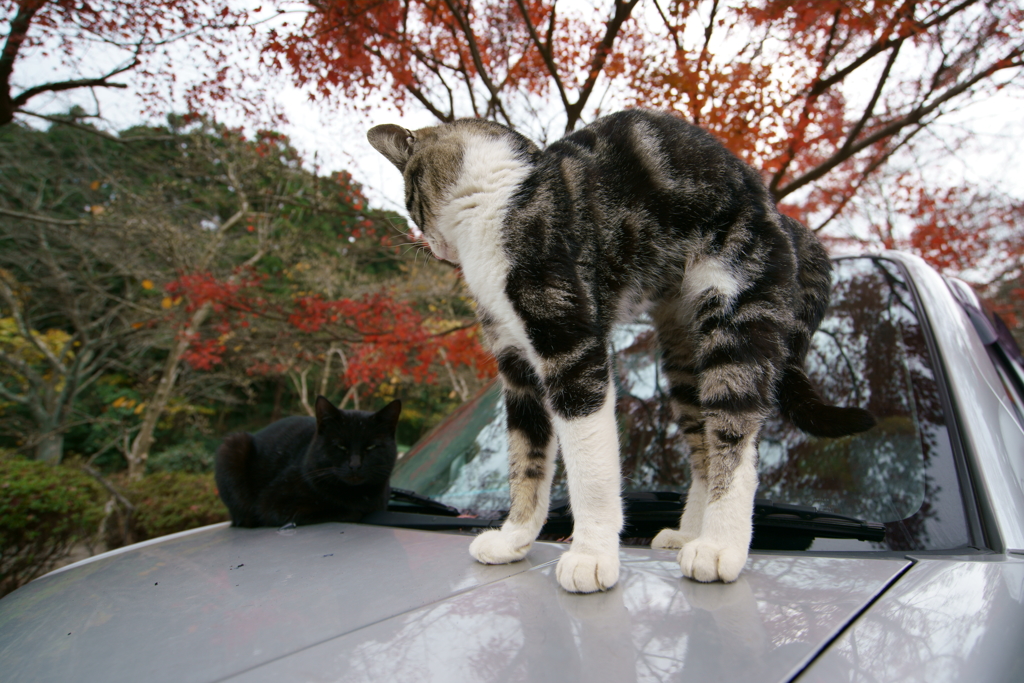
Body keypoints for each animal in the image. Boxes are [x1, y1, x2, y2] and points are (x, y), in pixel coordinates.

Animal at [214, 395, 401, 528]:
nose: (355, 465)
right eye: (340, 446)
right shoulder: (272, 505)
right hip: (233, 445)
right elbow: (345, 511)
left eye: (371, 447)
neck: (356, 495)